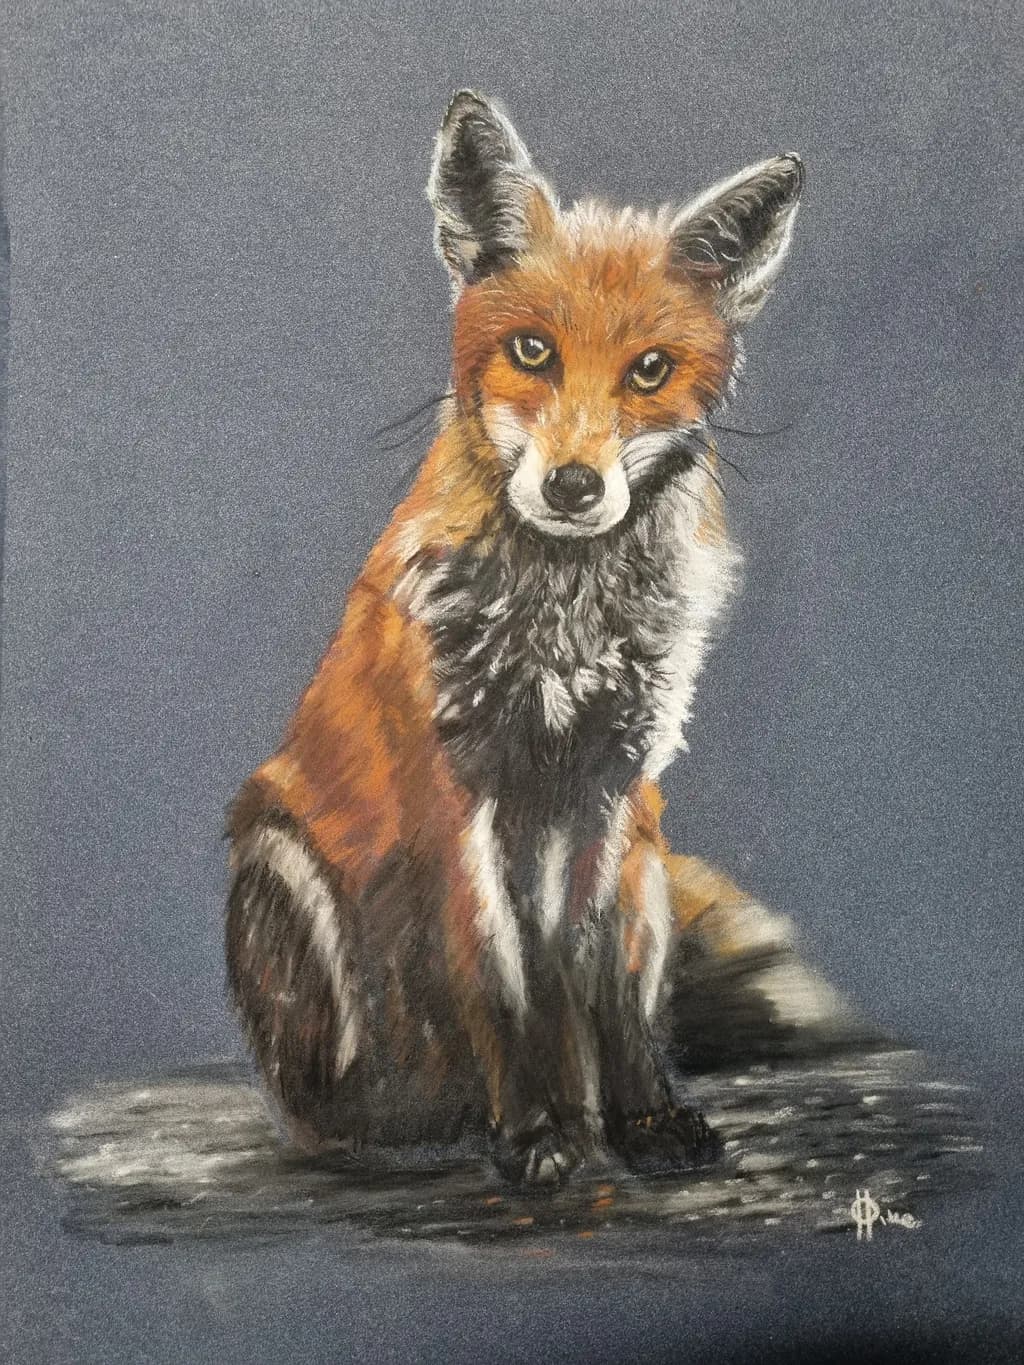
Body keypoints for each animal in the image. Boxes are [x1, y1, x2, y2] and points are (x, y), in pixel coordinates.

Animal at [226, 91, 852, 1187]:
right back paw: (418, 1125)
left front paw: (638, 1121)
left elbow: (602, 985)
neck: (565, 628)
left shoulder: (611, 794)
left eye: (649, 371)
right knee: (349, 1101)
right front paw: (538, 1134)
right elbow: (507, 983)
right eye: (531, 353)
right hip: (277, 864)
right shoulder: (458, 794)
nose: (572, 485)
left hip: (651, 857)